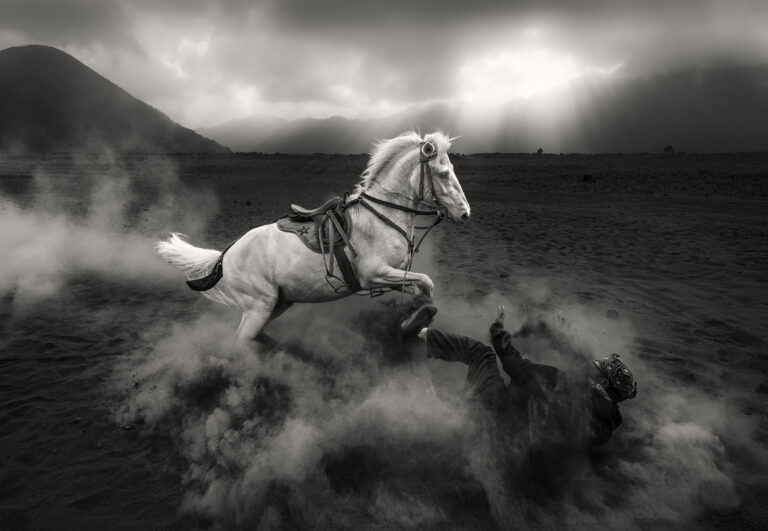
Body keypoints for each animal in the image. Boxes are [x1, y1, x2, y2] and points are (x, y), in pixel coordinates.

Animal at [156, 131, 470, 340]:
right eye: (444, 173)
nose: (465, 213)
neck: (382, 215)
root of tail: (227, 254)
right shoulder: (375, 274)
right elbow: (426, 282)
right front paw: (415, 320)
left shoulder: (396, 275)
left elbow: (423, 289)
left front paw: (415, 320)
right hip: (259, 307)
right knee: (240, 343)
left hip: (279, 303)